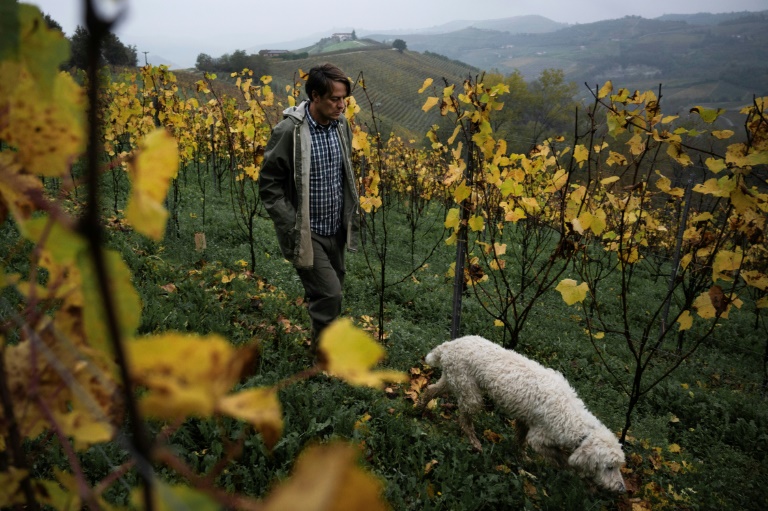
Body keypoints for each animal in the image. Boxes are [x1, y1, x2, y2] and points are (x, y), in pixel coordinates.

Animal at [416, 334, 628, 494]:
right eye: (609, 467)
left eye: (619, 466)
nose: (622, 489)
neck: (573, 417)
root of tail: (449, 345)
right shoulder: (539, 438)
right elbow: (561, 459)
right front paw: (581, 478)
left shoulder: (525, 421)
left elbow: (520, 442)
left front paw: (522, 459)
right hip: (470, 393)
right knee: (464, 419)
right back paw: (474, 442)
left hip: (453, 379)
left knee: (430, 390)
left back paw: (418, 409)